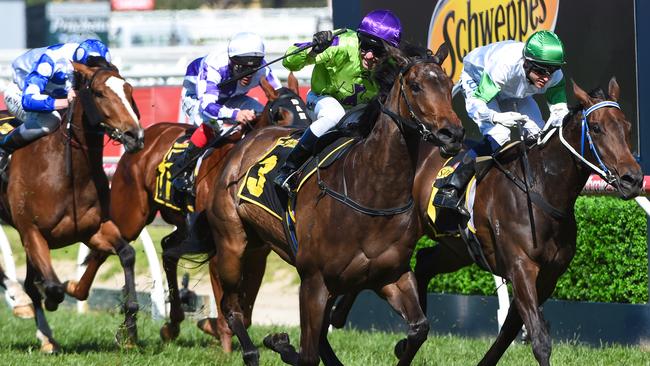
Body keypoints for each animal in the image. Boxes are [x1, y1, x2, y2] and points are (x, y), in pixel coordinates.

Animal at [0, 59, 143, 352]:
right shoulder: (31, 232)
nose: (135, 135)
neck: (67, 174)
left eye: (129, 90)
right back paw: (21, 304)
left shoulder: (92, 229)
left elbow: (127, 254)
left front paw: (129, 332)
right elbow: (51, 287)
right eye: (99, 93)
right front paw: (54, 296)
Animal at [64, 73, 308, 350]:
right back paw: (82, 293)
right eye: (279, 114)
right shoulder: (220, 245)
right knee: (106, 248)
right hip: (132, 214)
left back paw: (171, 324)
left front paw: (213, 326)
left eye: (308, 109)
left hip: (181, 224)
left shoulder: (258, 252)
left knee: (168, 250)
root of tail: (144, 135)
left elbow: (246, 309)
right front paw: (222, 336)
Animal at [205, 43, 464, 366]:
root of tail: (248, 139)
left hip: (260, 247)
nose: (453, 135)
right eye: (415, 86)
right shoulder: (314, 280)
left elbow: (419, 329)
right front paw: (280, 342)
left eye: (449, 85)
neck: (372, 192)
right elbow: (307, 355)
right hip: (233, 243)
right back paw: (252, 353)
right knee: (231, 305)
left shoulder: (391, 275)